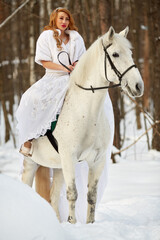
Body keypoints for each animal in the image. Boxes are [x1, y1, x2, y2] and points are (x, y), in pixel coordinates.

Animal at [21, 27, 144, 224]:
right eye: (115, 54)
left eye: (130, 53)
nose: (138, 86)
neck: (86, 113)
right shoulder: (69, 158)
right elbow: (73, 194)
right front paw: (73, 223)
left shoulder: (96, 161)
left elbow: (91, 196)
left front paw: (89, 224)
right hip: (31, 162)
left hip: (58, 167)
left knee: (53, 197)